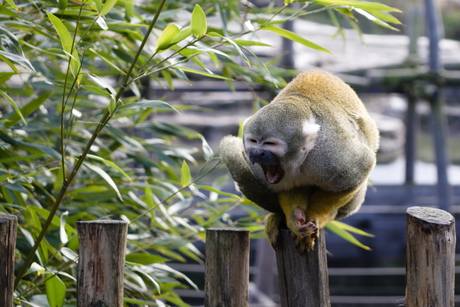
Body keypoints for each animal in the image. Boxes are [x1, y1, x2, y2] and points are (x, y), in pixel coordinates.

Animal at [221, 71, 380, 254]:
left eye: (270, 144)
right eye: (253, 141)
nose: (255, 153)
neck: (299, 158)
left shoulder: (331, 155)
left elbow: (361, 167)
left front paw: (315, 215)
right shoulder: (258, 170)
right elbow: (291, 189)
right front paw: (293, 218)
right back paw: (279, 217)